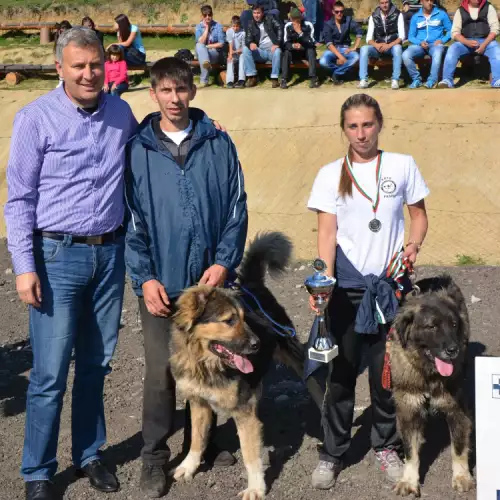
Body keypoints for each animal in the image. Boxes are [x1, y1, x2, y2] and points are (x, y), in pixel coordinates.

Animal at [170, 232, 306, 498]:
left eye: (244, 318)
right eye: (229, 320)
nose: (257, 344)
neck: (206, 365)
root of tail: (253, 285)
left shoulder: (243, 412)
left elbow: (250, 454)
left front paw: (255, 487)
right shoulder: (199, 402)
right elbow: (197, 438)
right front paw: (189, 466)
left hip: (292, 351)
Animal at [390, 276, 472, 498]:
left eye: (453, 324)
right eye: (432, 326)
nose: (453, 349)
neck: (428, 373)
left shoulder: (456, 409)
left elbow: (458, 448)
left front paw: (462, 477)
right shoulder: (408, 410)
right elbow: (411, 452)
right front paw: (409, 481)